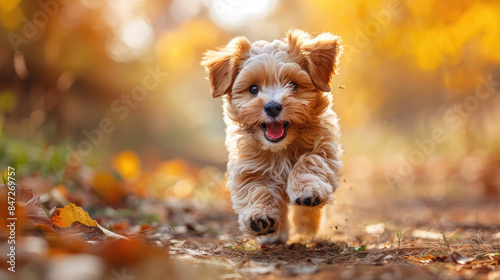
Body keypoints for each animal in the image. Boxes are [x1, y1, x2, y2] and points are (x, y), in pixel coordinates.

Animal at [201, 29, 342, 243]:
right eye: (253, 88)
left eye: (293, 85)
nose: (273, 107)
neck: (280, 148)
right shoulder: (249, 168)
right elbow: (257, 190)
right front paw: (260, 216)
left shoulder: (325, 149)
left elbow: (310, 160)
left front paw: (306, 188)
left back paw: (307, 228)